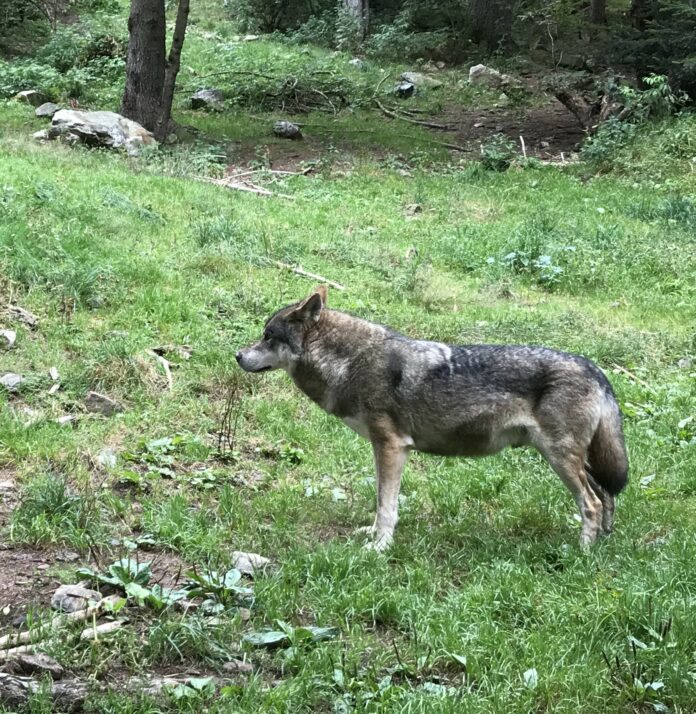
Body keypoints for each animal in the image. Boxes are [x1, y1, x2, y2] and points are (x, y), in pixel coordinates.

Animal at [236, 286, 628, 551]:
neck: (351, 362)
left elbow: (387, 506)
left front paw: (379, 549)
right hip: (573, 459)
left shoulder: (391, 447)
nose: (238, 355)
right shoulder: (383, 450)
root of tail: (597, 370)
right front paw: (371, 536)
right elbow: (380, 504)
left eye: (268, 336)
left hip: (559, 459)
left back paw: (581, 552)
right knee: (607, 494)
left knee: (592, 502)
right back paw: (604, 544)